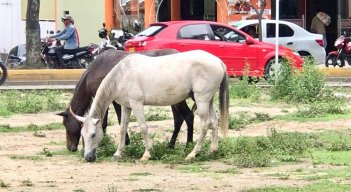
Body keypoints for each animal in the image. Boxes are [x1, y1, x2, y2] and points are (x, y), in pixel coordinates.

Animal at [57, 49, 195, 152]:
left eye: (65, 124)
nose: (70, 148)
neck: (95, 71)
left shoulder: (112, 100)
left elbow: (111, 121)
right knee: (178, 119)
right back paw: (171, 145)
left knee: (188, 116)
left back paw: (188, 146)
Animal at [71, 49, 231, 162]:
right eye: (82, 135)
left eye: (93, 134)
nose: (88, 158)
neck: (122, 75)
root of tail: (218, 61)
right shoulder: (126, 106)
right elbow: (123, 128)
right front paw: (118, 153)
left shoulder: (136, 104)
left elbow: (143, 127)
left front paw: (147, 154)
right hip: (208, 100)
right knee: (214, 121)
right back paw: (212, 151)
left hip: (201, 100)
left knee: (205, 124)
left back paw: (192, 154)